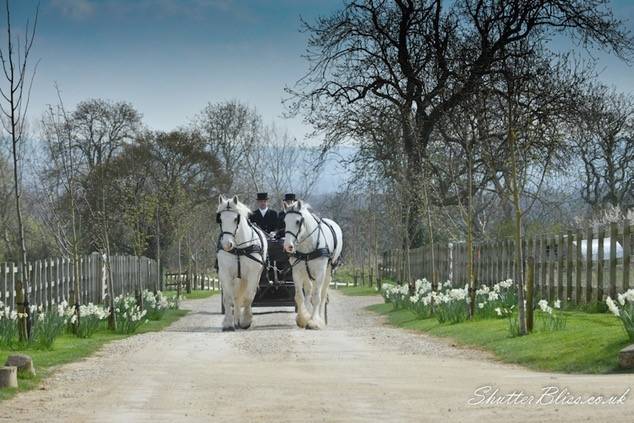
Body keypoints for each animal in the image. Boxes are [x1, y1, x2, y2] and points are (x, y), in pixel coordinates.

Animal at [217, 195, 266, 332]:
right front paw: (228, 323)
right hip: (237, 278)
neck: (239, 249)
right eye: (220, 219)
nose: (227, 245)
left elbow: (249, 296)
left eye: (235, 219)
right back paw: (236, 320)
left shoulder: (253, 274)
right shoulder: (225, 274)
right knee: (236, 297)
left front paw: (246, 321)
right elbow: (228, 298)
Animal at [282, 200, 340, 330]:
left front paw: (314, 321)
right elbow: (300, 296)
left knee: (322, 294)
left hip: (328, 272)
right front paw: (303, 319)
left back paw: (320, 318)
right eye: (285, 221)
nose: (288, 246)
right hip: (306, 273)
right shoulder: (297, 272)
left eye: (298, 221)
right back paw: (308, 314)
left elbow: (317, 297)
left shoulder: (320, 272)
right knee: (308, 292)